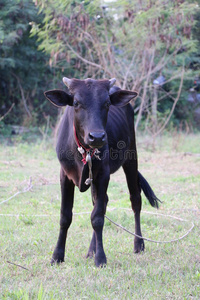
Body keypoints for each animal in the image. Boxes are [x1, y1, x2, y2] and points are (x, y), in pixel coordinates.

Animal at [44, 78, 160, 268]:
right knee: (101, 202)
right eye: (76, 103)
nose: (97, 137)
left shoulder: (103, 174)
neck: (83, 152)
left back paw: (138, 243)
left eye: (106, 103)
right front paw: (57, 256)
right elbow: (65, 216)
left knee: (135, 200)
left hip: (131, 157)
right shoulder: (65, 176)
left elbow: (97, 217)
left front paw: (100, 258)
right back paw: (92, 250)